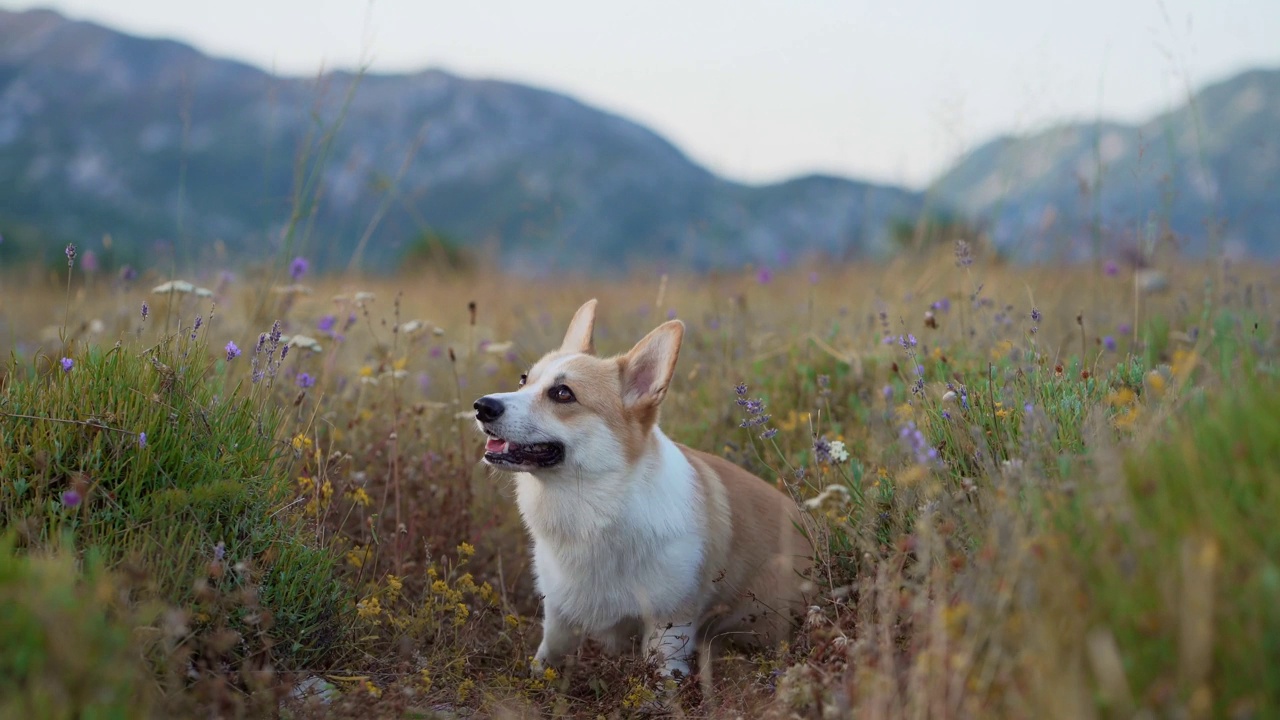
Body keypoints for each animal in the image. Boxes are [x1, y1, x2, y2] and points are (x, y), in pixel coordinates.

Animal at [471, 298, 808, 676]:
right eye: (524, 379)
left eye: (562, 394)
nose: (481, 406)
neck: (592, 504)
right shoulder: (558, 619)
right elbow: (545, 662)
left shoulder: (669, 628)